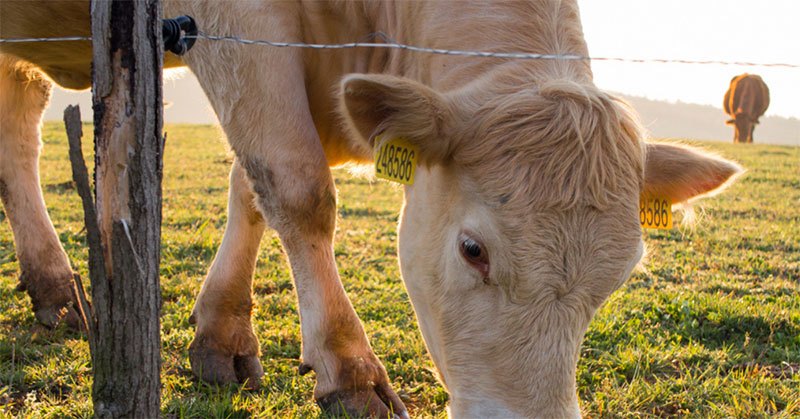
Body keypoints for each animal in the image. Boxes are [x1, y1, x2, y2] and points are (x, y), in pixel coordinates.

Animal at [3, 1, 744, 418]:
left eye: (617, 279)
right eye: (472, 249)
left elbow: (251, 185)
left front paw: (222, 332)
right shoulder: (238, 25)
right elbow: (295, 187)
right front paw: (347, 369)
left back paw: (54, 286)